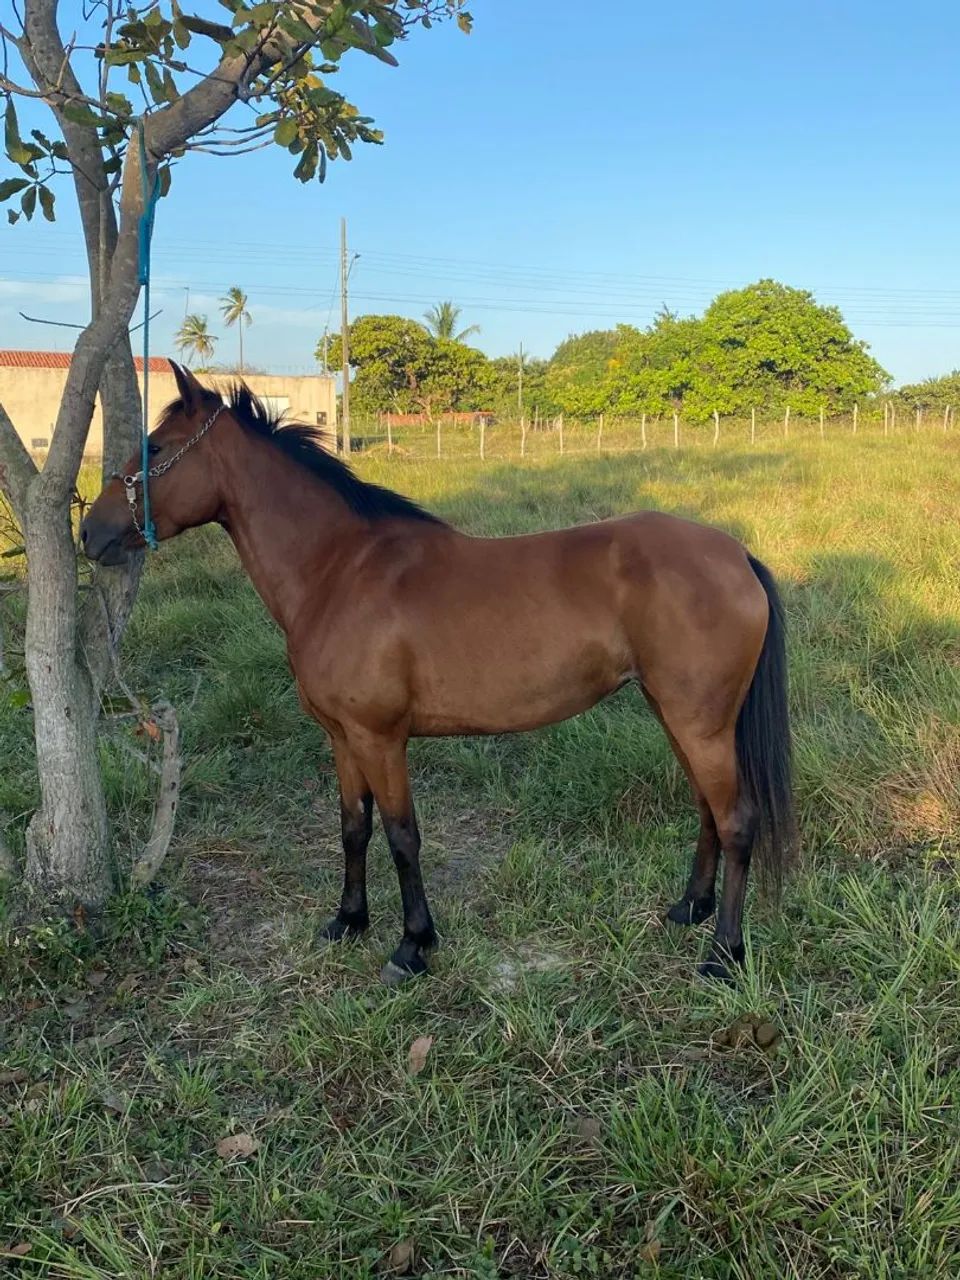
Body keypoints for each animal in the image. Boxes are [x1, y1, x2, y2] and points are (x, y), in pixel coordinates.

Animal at [81, 363, 795, 985]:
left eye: (153, 447)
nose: (90, 532)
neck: (339, 570)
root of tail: (736, 555)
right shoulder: (342, 739)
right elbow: (353, 828)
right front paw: (348, 921)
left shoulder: (381, 739)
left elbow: (402, 837)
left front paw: (412, 946)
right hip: (677, 715)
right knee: (707, 809)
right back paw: (690, 910)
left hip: (699, 724)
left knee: (736, 821)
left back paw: (724, 954)